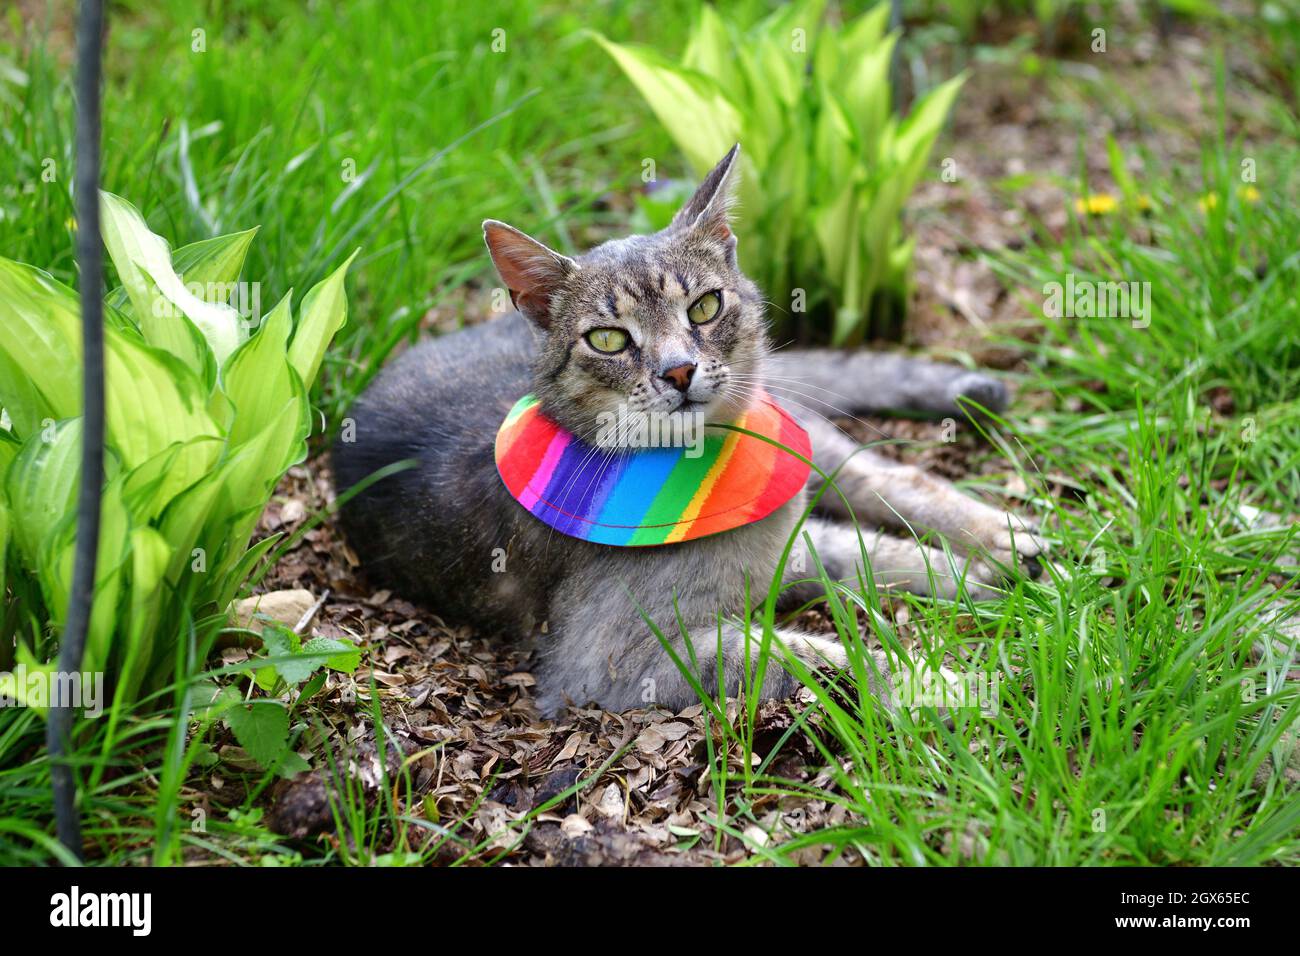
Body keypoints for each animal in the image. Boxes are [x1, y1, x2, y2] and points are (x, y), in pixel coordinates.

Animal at [338, 145, 1045, 717]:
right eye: (608, 339)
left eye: (704, 307)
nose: (678, 369)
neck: (705, 472)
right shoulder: (613, 662)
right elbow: (814, 652)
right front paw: (945, 682)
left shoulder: (787, 537)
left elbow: (873, 551)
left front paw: (978, 576)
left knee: (885, 477)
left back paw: (1002, 536)